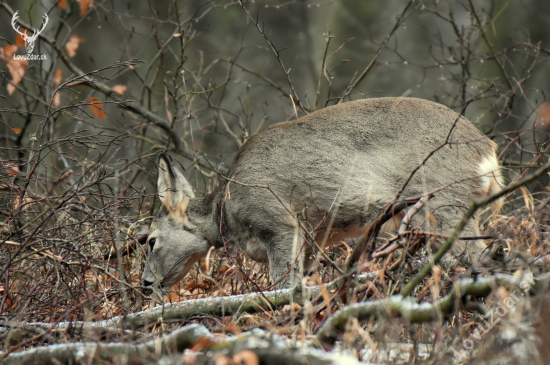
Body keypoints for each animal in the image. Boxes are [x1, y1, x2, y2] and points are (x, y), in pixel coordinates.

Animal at [141, 97, 504, 290]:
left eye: (151, 240)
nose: (145, 283)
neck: (226, 213)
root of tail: (488, 151)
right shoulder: (311, 243)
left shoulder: (279, 222)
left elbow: (283, 287)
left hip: (446, 200)